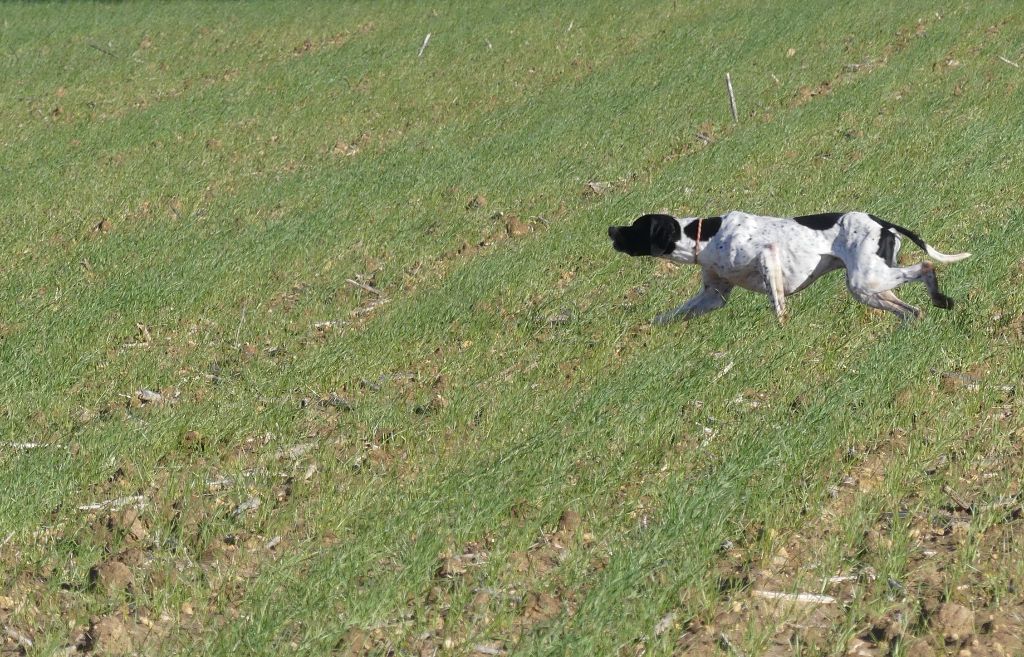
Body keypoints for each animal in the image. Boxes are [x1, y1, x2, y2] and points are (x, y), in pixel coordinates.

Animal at [608, 211, 971, 323]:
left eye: (636, 227)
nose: (611, 229)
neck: (706, 237)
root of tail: (881, 221)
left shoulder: (766, 256)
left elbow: (777, 305)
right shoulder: (714, 296)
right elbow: (673, 314)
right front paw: (650, 326)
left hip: (865, 280)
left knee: (926, 266)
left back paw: (940, 298)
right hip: (870, 287)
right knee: (910, 310)